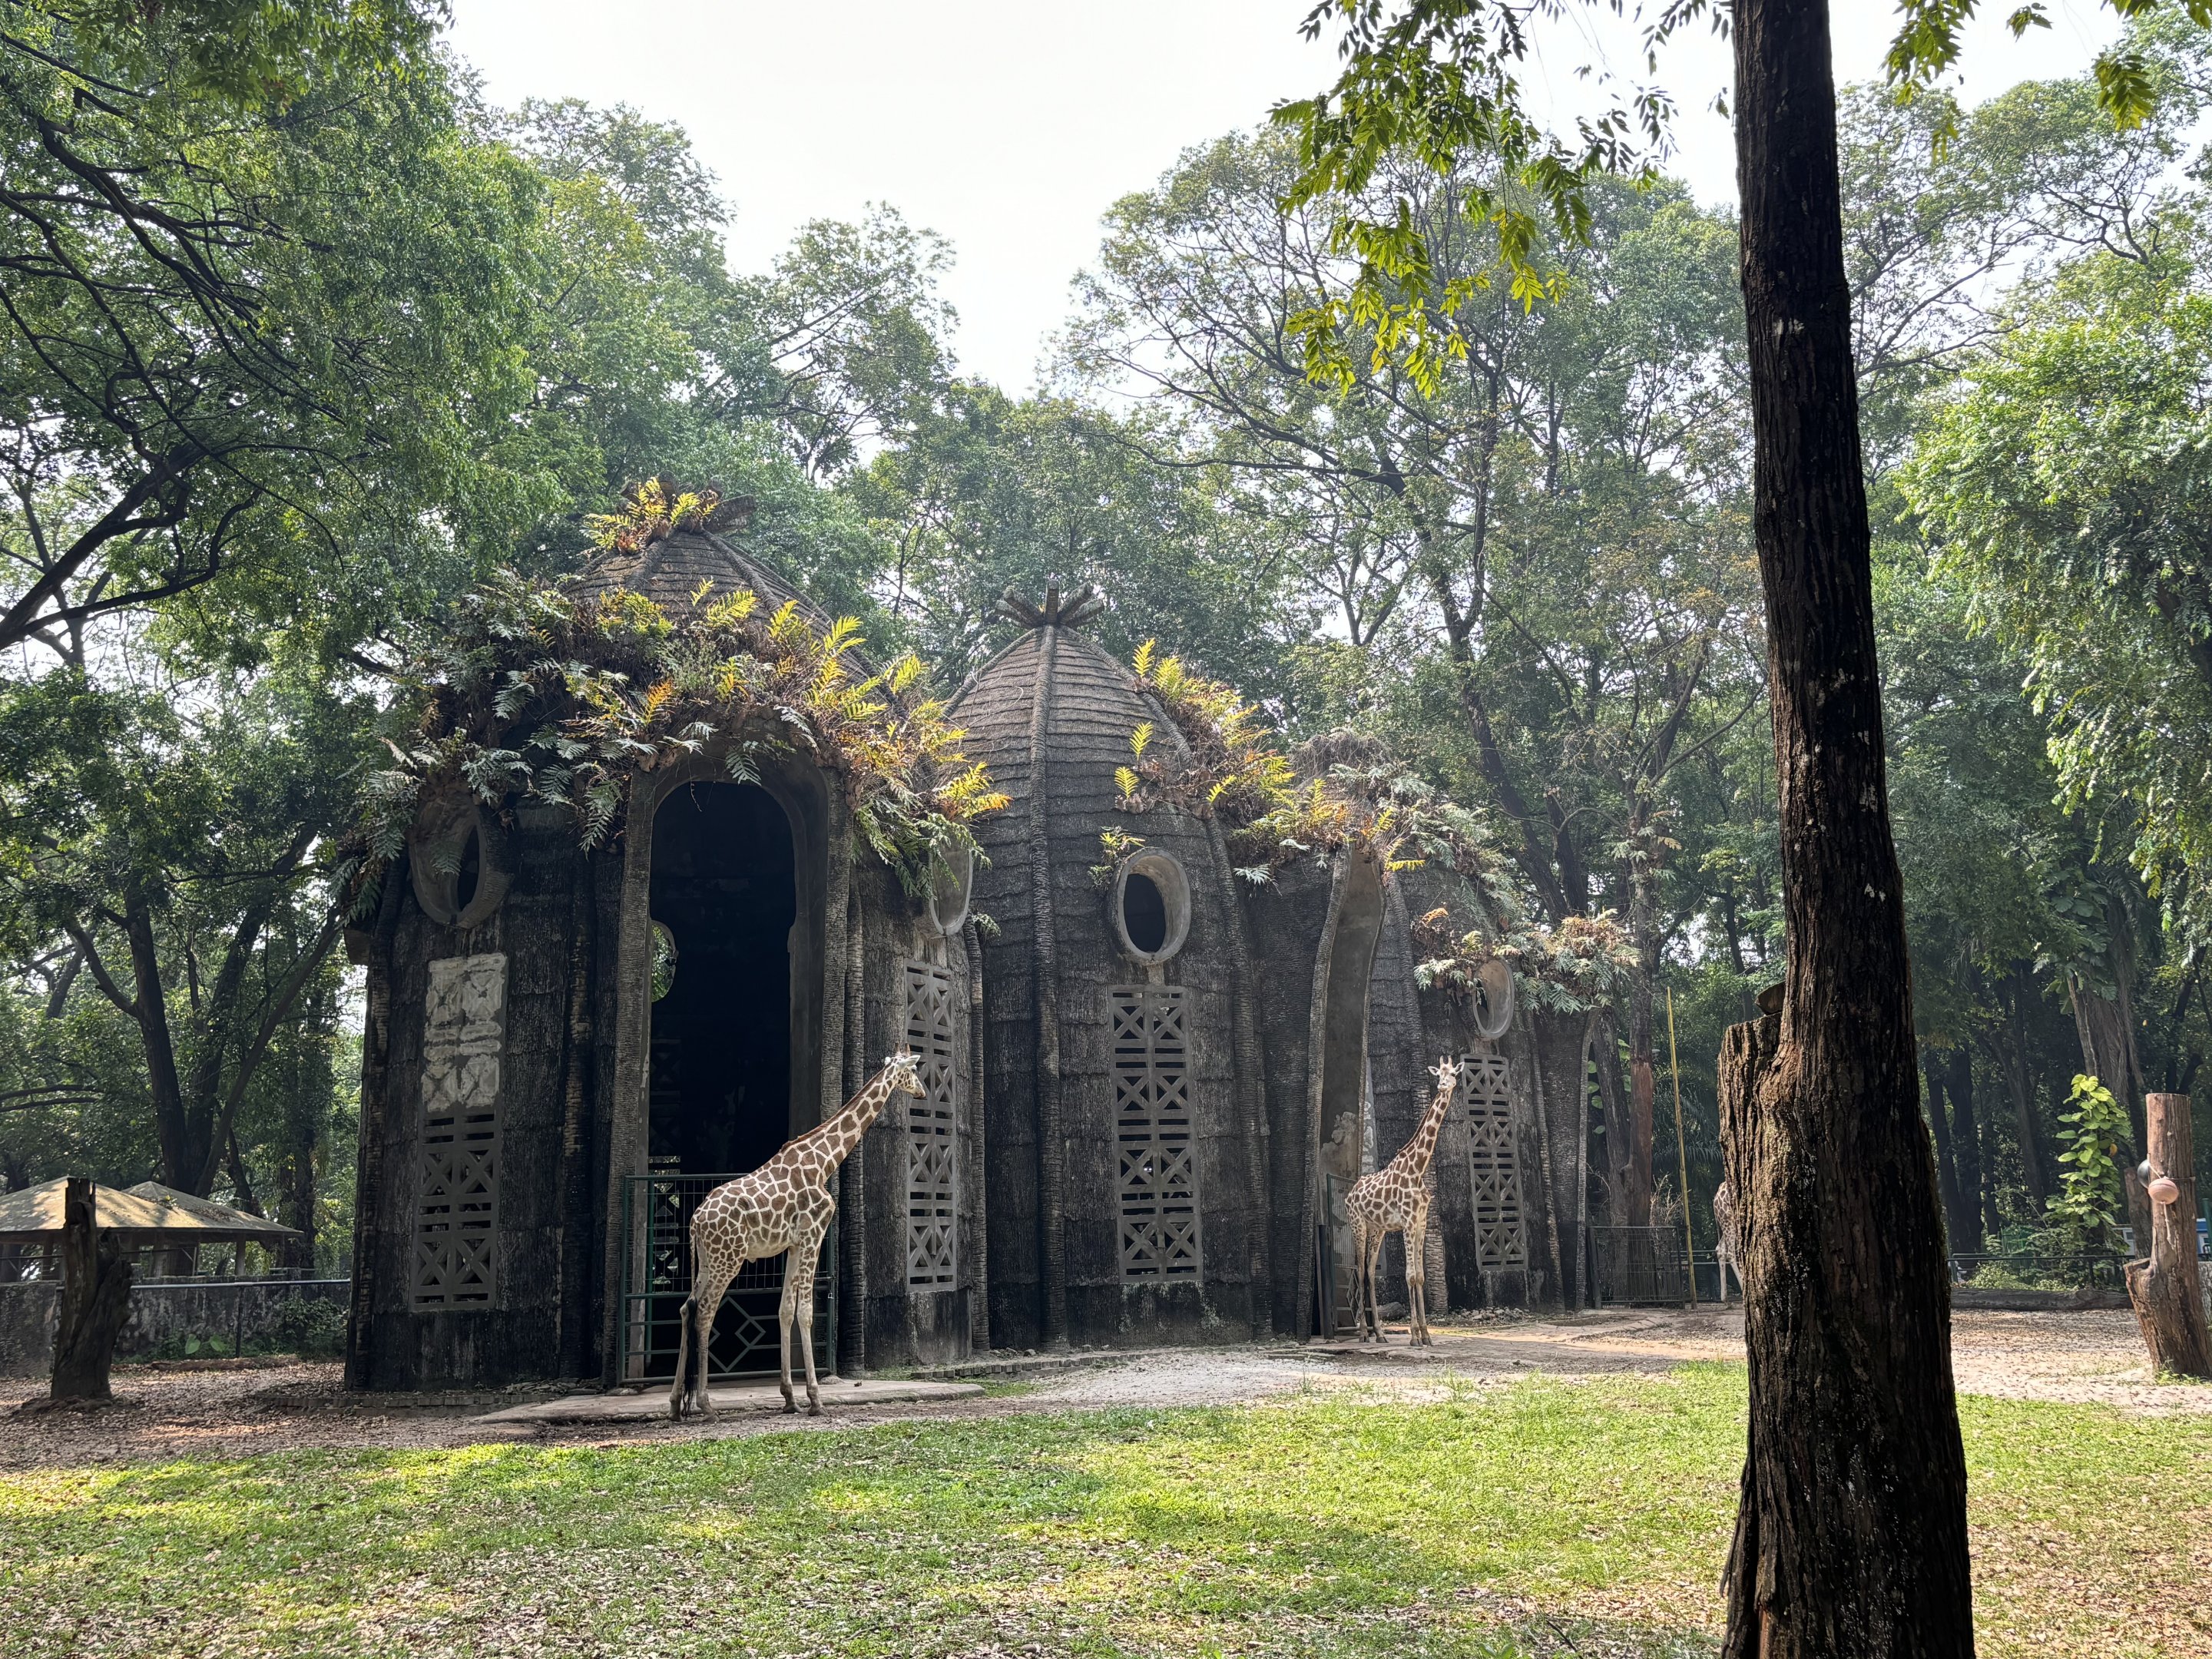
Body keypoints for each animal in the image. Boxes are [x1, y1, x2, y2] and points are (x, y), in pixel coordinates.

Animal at [669, 1051, 924, 1420]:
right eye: (914, 1070)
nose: (921, 1091)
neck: (825, 1160)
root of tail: (695, 1221)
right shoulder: (813, 1233)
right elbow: (805, 1311)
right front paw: (816, 1399)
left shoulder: (792, 1244)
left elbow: (785, 1310)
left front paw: (790, 1398)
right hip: (727, 1260)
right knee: (704, 1313)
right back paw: (706, 1405)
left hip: (705, 1260)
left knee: (686, 1309)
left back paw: (676, 1404)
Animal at [1344, 1057, 1461, 1345]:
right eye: (1438, 1075)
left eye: (1453, 1074)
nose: (1443, 1086)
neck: (1418, 1168)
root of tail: (1350, 1194)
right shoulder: (1408, 1222)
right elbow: (1409, 1275)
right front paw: (1415, 1336)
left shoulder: (1421, 1223)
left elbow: (1420, 1277)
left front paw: (1426, 1335)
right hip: (1358, 1226)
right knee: (1360, 1271)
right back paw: (1363, 1333)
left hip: (1378, 1230)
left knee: (1370, 1271)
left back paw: (1380, 1333)